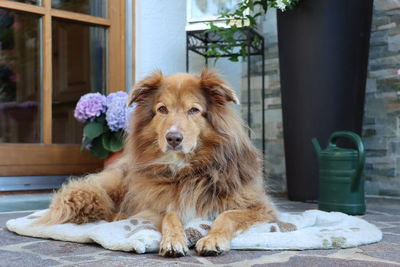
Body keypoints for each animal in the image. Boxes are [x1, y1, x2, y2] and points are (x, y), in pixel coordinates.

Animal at [37, 70, 276, 258]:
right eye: (162, 109)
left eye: (194, 110)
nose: (173, 138)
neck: (187, 171)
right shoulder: (155, 204)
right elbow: (170, 214)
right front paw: (173, 240)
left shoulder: (260, 207)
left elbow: (227, 215)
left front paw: (213, 239)